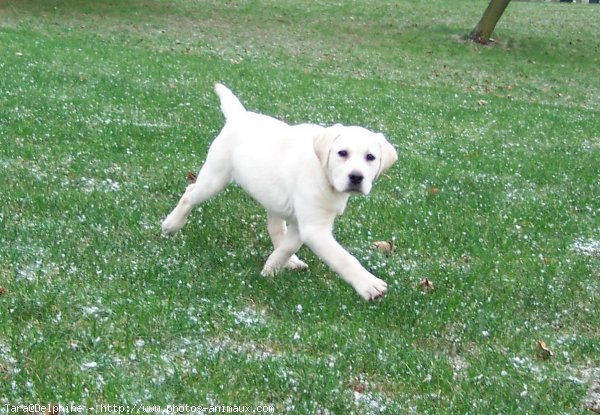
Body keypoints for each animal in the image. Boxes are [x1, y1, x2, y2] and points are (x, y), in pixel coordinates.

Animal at [162, 84, 396, 300]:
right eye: (342, 153)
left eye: (370, 157)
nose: (356, 177)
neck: (323, 173)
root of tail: (240, 116)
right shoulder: (314, 229)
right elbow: (343, 258)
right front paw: (369, 285)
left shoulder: (302, 225)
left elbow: (287, 247)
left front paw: (270, 270)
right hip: (215, 177)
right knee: (190, 193)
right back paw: (171, 224)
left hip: (272, 198)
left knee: (276, 230)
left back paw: (291, 262)